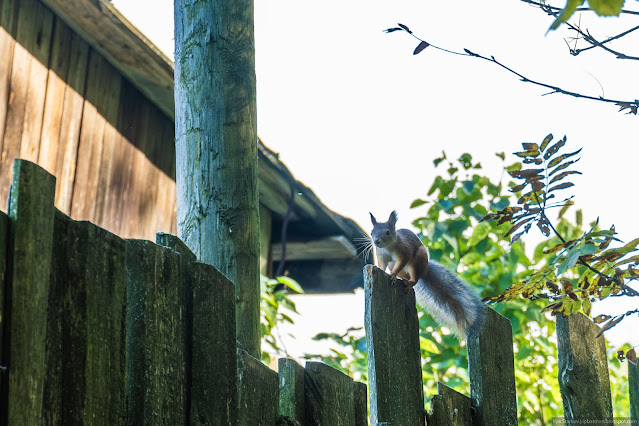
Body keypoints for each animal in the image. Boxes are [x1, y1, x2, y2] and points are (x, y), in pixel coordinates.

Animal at [370, 211, 484, 340]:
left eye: (387, 232)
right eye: (371, 232)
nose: (376, 241)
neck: (388, 248)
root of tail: (425, 270)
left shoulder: (404, 252)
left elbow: (401, 262)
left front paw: (393, 275)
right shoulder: (381, 256)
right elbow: (382, 265)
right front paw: (379, 269)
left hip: (417, 260)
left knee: (415, 278)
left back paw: (409, 283)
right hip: (396, 266)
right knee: (406, 275)